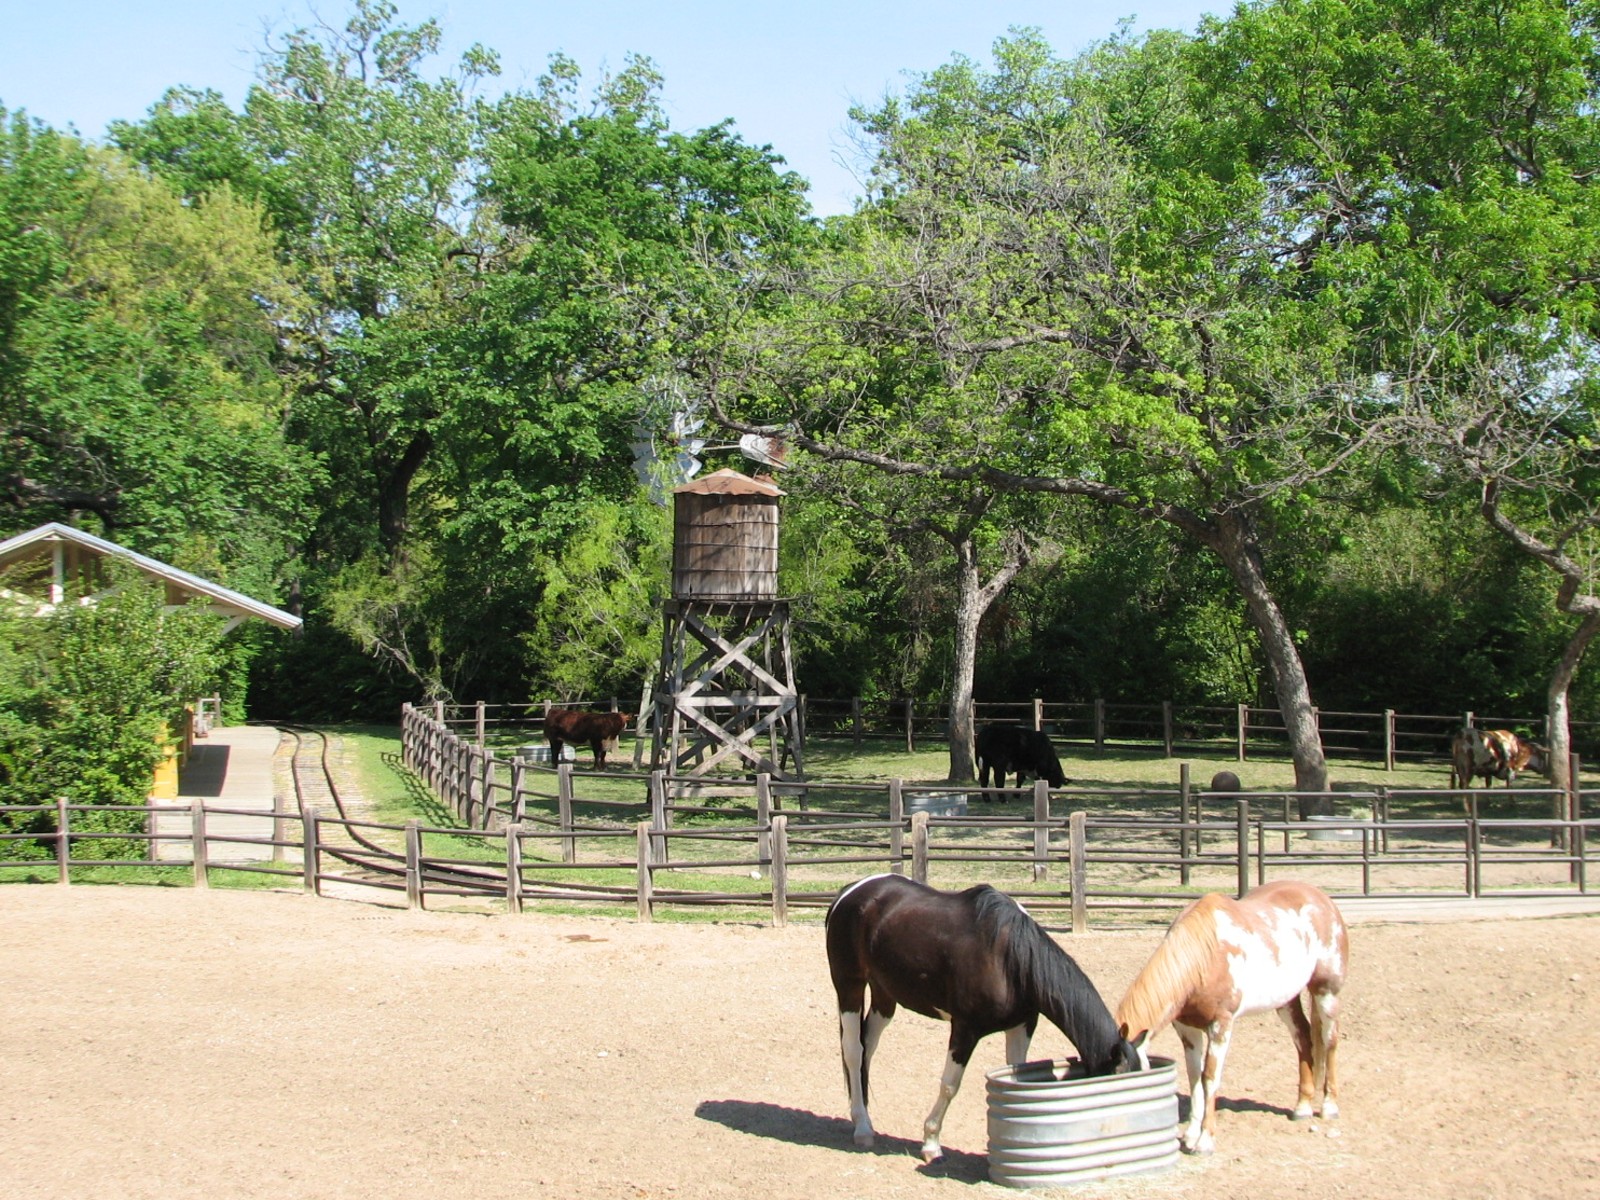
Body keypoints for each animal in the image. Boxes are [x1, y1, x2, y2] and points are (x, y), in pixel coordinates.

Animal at [825, 873, 1139, 1162]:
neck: (1010, 959)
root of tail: (850, 893)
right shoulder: (965, 1029)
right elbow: (949, 1085)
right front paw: (931, 1143)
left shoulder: (1023, 1025)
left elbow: (1018, 1074)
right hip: (849, 986)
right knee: (853, 1051)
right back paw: (863, 1128)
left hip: (885, 995)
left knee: (867, 1048)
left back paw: (863, 1116)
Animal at [1114, 880, 1348, 1156]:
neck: (1204, 958)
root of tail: (1322, 899)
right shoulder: (1187, 1029)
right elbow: (1194, 1077)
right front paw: (1190, 1135)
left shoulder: (1221, 1026)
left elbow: (1209, 1077)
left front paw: (1204, 1141)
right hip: (1286, 1000)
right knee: (1303, 1038)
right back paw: (1302, 1106)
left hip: (1326, 992)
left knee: (1329, 1041)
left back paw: (1329, 1106)